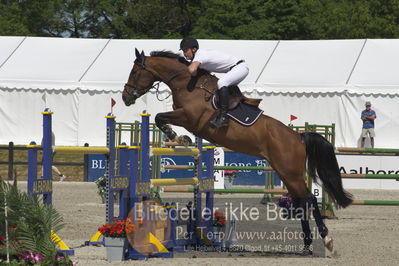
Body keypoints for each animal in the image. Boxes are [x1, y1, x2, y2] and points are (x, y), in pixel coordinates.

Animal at [122, 47, 354, 254]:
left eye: (134, 72)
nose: (125, 97)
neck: (187, 84)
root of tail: (298, 136)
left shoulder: (189, 117)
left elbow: (160, 117)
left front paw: (177, 137)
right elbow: (161, 117)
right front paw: (180, 138)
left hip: (290, 172)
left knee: (309, 199)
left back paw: (326, 240)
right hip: (285, 172)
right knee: (302, 201)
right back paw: (307, 244)